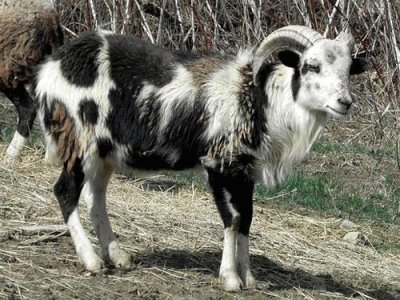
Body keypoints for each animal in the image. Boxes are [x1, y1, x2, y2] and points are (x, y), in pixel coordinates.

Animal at [33, 25, 366, 290]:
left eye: (348, 68)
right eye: (311, 66)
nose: (345, 102)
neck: (262, 100)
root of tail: (51, 69)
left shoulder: (245, 171)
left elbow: (247, 219)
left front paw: (250, 278)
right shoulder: (217, 163)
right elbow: (232, 219)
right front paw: (230, 279)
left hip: (106, 152)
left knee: (96, 196)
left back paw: (119, 257)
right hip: (79, 140)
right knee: (65, 192)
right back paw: (91, 260)